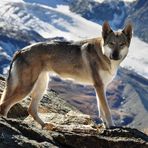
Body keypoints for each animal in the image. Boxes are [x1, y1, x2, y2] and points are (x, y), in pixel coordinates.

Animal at [0, 21, 132, 128]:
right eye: (111, 43)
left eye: (122, 44)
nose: (115, 55)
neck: (104, 55)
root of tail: (20, 51)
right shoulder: (99, 86)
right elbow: (107, 110)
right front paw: (112, 127)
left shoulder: (100, 87)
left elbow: (102, 110)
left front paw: (106, 126)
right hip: (26, 89)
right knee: (4, 106)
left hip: (41, 87)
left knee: (30, 109)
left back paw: (46, 125)